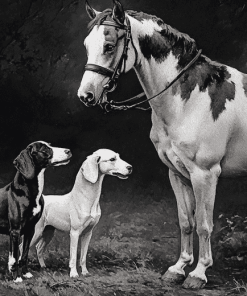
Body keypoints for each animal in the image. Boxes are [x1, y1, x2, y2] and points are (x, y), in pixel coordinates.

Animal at [0, 141, 72, 282]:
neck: (28, 192)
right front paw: (17, 278)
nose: (68, 151)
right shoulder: (16, 231)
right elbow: (15, 256)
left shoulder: (30, 229)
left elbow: (24, 254)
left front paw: (25, 273)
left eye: (50, 144)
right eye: (44, 150)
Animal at [28, 150, 132, 278]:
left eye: (118, 156)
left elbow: (83, 256)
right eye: (112, 159)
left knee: (38, 248)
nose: (130, 168)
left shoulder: (88, 233)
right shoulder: (74, 233)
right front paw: (73, 274)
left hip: (48, 232)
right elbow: (73, 256)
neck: (85, 198)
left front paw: (85, 272)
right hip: (36, 232)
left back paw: (43, 267)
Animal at [76, 0, 247, 290]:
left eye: (109, 46)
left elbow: (204, 224)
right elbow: (185, 221)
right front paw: (178, 269)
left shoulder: (205, 175)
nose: (86, 95)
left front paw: (198, 274)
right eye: (87, 45)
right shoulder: (177, 173)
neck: (191, 99)